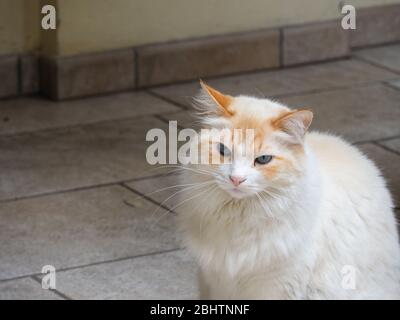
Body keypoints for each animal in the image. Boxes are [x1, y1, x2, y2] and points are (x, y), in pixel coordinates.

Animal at [178, 80, 400, 300]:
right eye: (223, 150)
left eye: (263, 159)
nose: (236, 179)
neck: (239, 217)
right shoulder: (212, 281)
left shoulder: (277, 286)